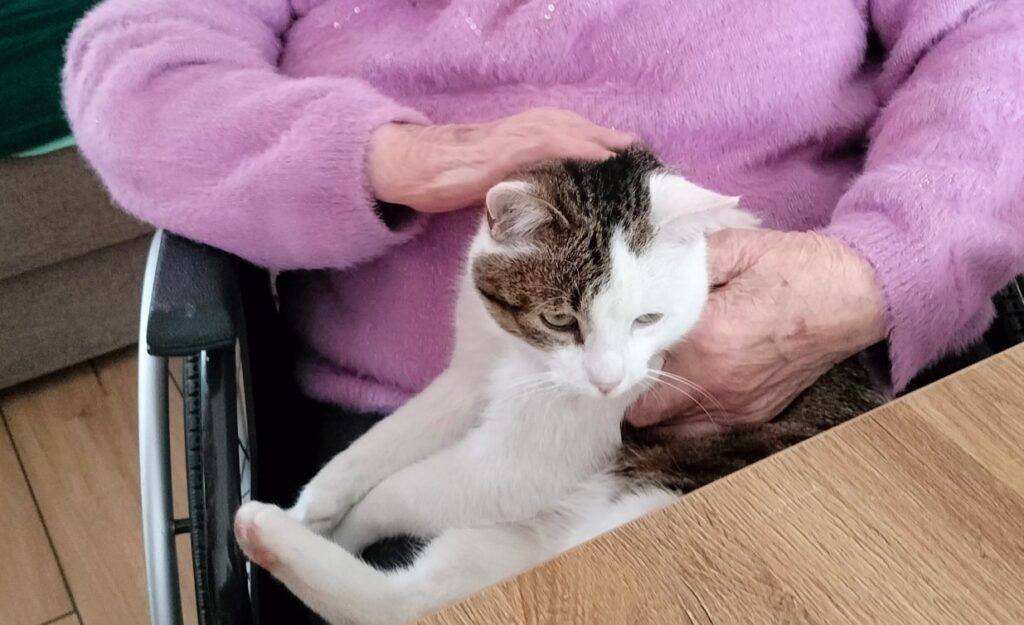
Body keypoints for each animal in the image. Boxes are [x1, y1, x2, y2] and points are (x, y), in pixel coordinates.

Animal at [233, 147, 886, 625]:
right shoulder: (473, 366)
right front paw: (319, 502)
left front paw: (347, 523)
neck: (522, 359)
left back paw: (261, 529)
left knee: (415, 602)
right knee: (414, 599)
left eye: (648, 320)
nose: (608, 380)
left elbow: (406, 488)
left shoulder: (529, 461)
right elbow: (386, 441)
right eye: (557, 319)